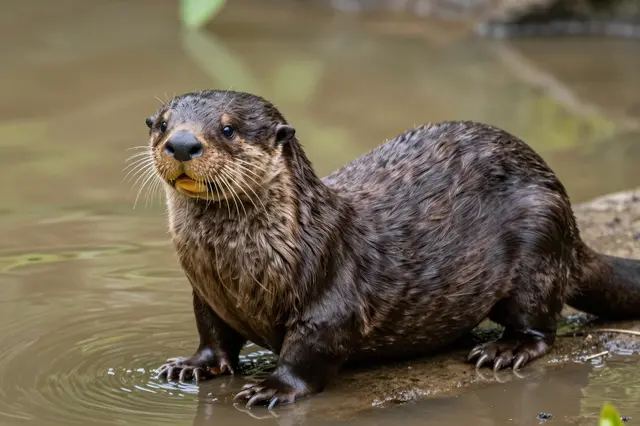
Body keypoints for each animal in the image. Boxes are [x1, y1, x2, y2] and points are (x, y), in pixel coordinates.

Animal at [136, 90, 640, 409]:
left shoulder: (332, 293)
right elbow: (212, 334)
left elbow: (310, 349)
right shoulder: (206, 293)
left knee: (541, 324)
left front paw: (273, 388)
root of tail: (570, 221)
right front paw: (191, 365)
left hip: (540, 234)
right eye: (161, 124)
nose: (182, 143)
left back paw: (505, 350)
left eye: (229, 129)